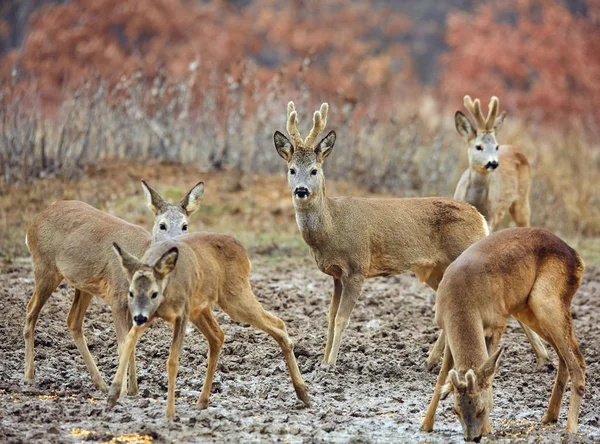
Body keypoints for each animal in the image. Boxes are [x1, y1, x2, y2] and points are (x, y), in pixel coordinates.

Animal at [23, 180, 205, 396]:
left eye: (185, 226)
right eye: (162, 225)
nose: (176, 246)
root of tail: (32, 224)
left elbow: (132, 343)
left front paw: (134, 390)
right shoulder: (117, 297)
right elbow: (123, 344)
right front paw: (124, 392)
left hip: (83, 284)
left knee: (72, 320)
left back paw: (100, 384)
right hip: (45, 267)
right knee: (31, 311)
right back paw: (28, 377)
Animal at [108, 234, 312, 418]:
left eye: (154, 293)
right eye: (131, 292)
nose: (139, 317)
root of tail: (243, 251)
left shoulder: (182, 313)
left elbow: (172, 360)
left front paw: (170, 414)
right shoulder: (152, 314)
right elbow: (129, 339)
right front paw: (113, 394)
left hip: (234, 296)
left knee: (278, 324)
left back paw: (303, 393)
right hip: (201, 307)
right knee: (218, 336)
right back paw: (202, 401)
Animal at [274, 102, 490, 366]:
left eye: (314, 170)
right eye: (292, 170)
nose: (301, 190)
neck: (331, 227)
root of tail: (481, 219)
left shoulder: (357, 267)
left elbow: (342, 319)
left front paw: (332, 364)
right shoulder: (336, 275)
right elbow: (330, 317)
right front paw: (323, 362)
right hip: (435, 269)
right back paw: (430, 361)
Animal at [422, 227, 584, 442]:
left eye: (481, 409)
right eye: (455, 411)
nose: (473, 438)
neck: (462, 298)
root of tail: (576, 257)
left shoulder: (497, 322)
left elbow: (487, 369)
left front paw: (488, 430)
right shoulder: (446, 328)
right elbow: (442, 376)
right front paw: (426, 425)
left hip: (547, 300)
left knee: (577, 361)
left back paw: (570, 430)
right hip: (527, 309)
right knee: (564, 357)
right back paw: (549, 416)